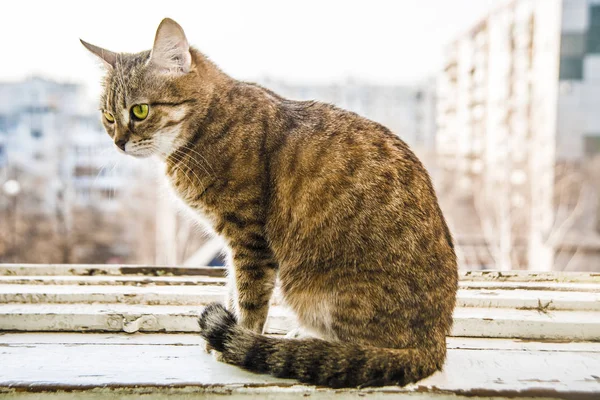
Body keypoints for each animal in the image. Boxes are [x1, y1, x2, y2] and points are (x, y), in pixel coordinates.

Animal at [83, 18, 460, 388]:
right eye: (108, 117)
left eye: (140, 110)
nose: (118, 143)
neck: (208, 122)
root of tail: (435, 341)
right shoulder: (231, 243)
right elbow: (232, 289)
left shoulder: (248, 237)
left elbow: (249, 297)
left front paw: (240, 338)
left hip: (313, 288)